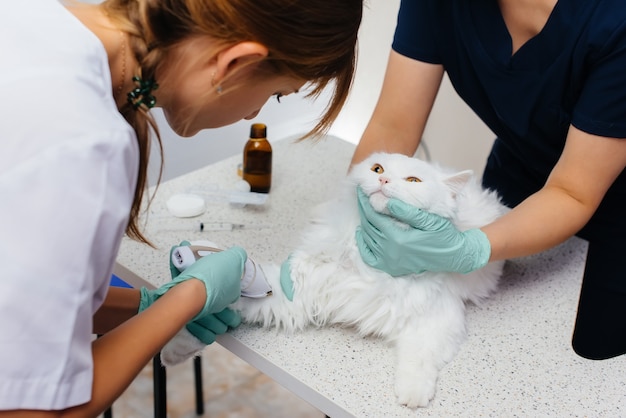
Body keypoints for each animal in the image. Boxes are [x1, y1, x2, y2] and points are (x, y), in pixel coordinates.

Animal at [230, 153, 508, 408]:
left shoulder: (437, 320)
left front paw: (413, 394)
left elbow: (420, 361)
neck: (373, 261)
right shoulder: (301, 287)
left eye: (413, 180)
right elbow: (260, 293)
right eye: (378, 169)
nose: (383, 179)